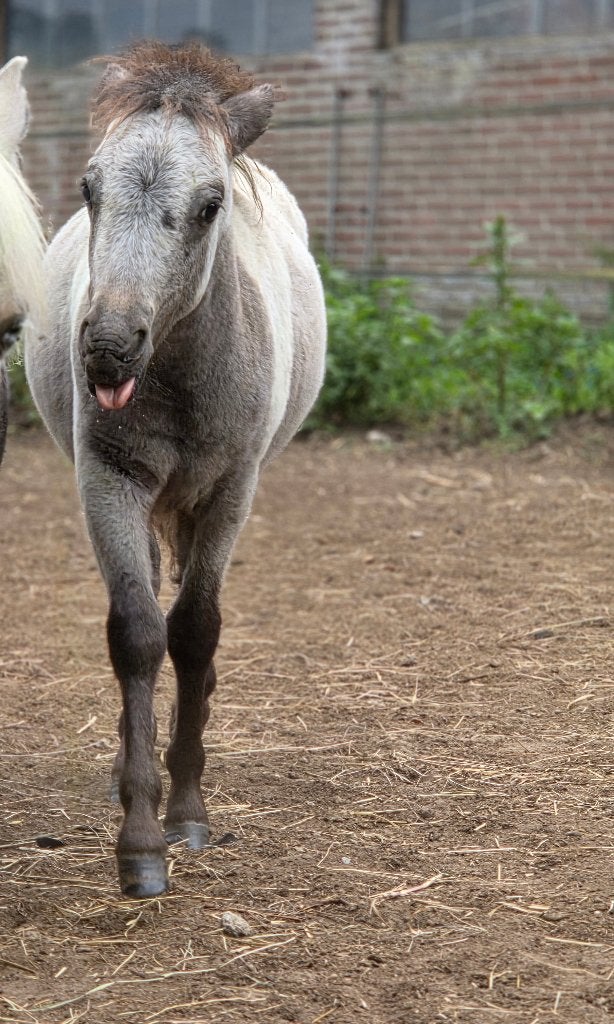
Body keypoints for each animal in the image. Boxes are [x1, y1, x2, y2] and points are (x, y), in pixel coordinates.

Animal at [26, 41, 326, 899]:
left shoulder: (231, 491)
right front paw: (139, 842)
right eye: (89, 187)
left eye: (210, 203)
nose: (107, 346)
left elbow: (196, 631)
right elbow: (137, 632)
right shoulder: (109, 482)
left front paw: (187, 810)